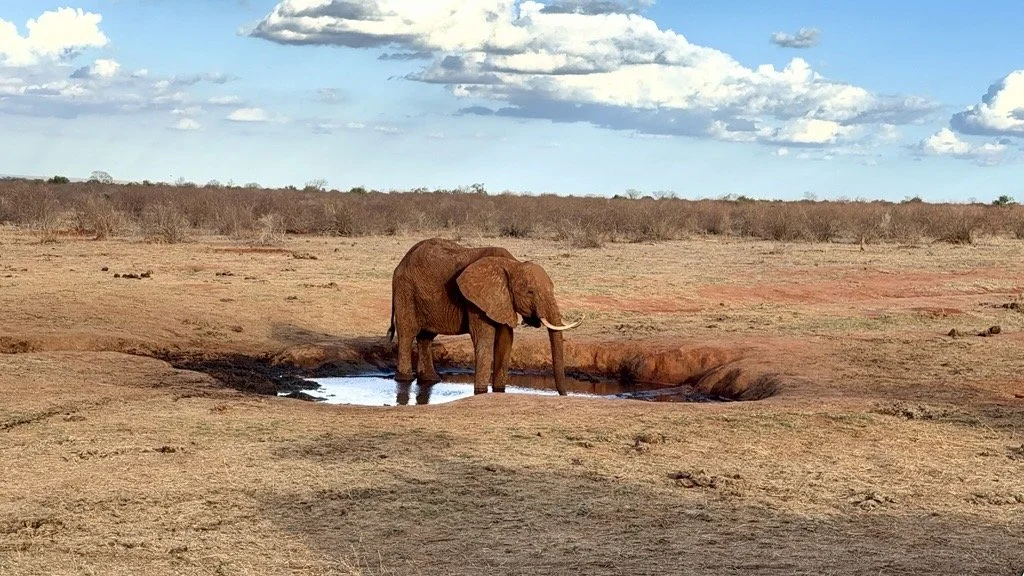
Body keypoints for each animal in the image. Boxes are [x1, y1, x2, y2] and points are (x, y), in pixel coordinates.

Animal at [387, 238, 582, 395]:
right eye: (530, 292)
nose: (564, 395)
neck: (512, 265)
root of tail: (401, 262)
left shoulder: (503, 301)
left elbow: (505, 341)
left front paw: (498, 390)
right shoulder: (476, 301)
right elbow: (484, 340)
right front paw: (480, 392)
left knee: (426, 337)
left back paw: (431, 379)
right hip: (405, 290)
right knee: (407, 334)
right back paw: (404, 378)